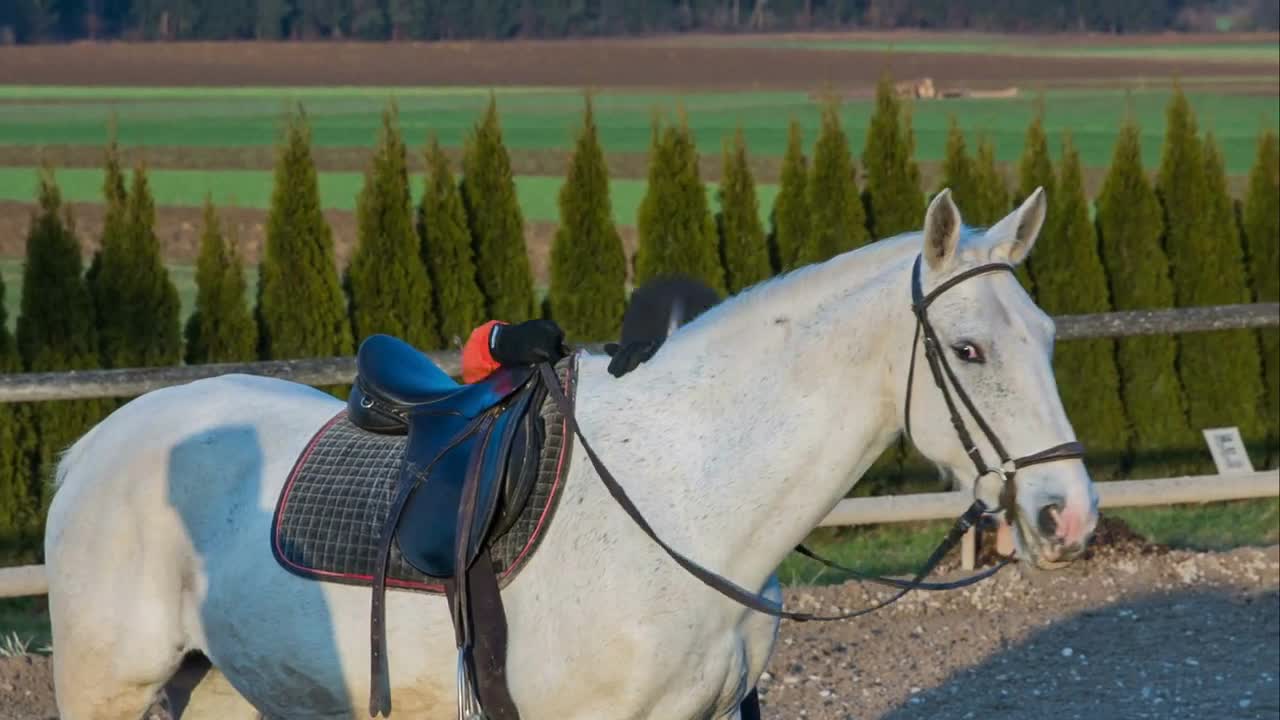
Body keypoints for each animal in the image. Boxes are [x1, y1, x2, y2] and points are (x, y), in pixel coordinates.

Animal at [42, 188, 1100, 712]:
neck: (685, 504)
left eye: (1049, 337)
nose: (1071, 516)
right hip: (106, 690)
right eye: (969, 348)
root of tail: (96, 446)